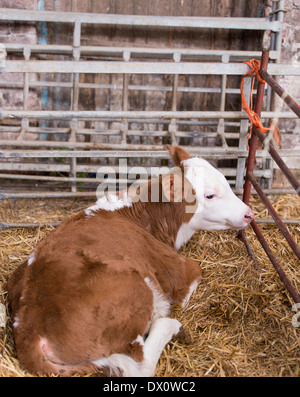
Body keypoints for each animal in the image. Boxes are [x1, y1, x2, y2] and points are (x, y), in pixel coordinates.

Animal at [7, 145, 253, 374]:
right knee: (139, 365)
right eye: (210, 195)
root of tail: (27, 325)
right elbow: (195, 273)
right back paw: (170, 325)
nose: (249, 214)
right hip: (136, 293)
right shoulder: (176, 270)